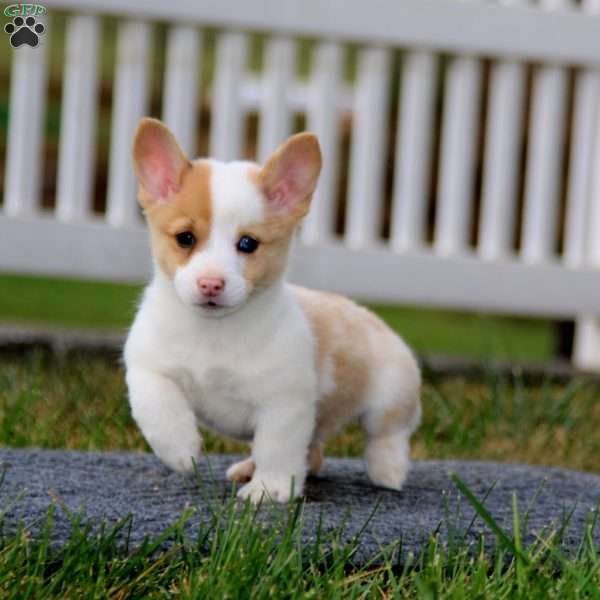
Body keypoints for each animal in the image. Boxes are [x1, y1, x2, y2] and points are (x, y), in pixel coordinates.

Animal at [124, 117, 420, 502]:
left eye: (248, 244)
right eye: (185, 238)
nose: (210, 284)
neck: (214, 331)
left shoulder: (284, 404)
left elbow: (276, 448)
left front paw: (269, 490)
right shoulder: (148, 369)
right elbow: (158, 411)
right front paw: (182, 451)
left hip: (390, 398)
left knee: (386, 435)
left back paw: (388, 472)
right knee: (315, 452)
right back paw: (248, 468)